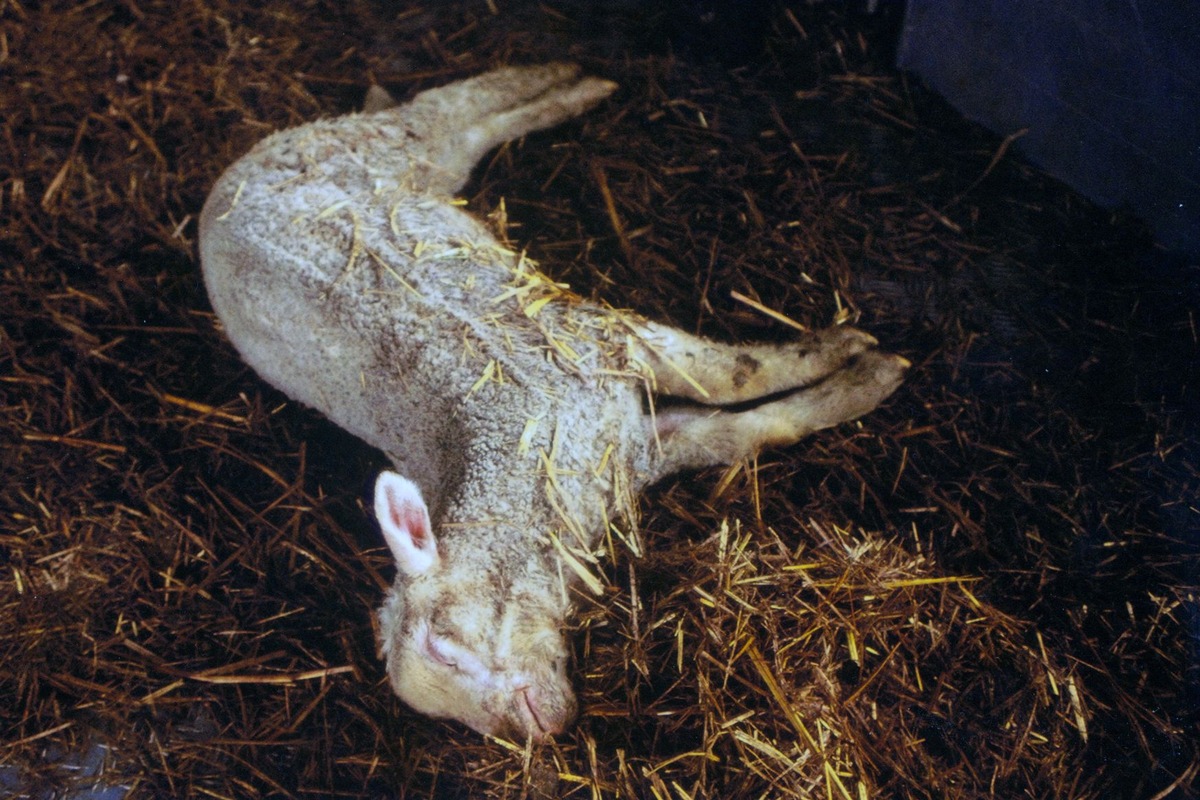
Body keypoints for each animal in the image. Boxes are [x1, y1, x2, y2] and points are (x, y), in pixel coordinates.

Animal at [199, 64, 907, 743]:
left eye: (444, 646)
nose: (539, 732)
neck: (519, 478)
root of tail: (225, 185)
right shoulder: (640, 449)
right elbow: (748, 432)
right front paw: (861, 383)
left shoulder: (609, 343)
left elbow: (734, 373)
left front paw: (861, 357)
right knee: (469, 127)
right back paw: (581, 88)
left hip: (380, 149)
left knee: (460, 107)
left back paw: (574, 81)